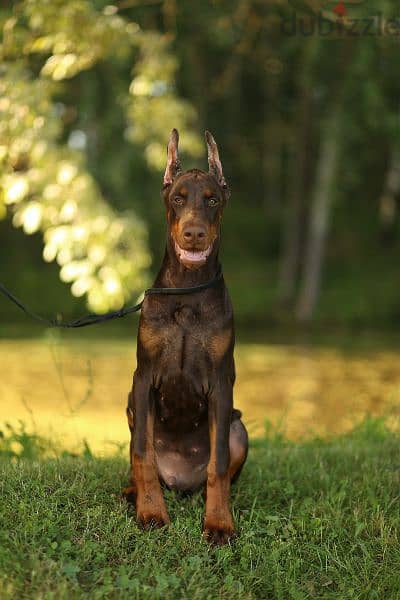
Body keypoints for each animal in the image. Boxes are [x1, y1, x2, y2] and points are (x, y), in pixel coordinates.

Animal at [122, 127, 247, 544]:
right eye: (178, 197)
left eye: (212, 200)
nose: (195, 233)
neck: (187, 291)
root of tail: (179, 480)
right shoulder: (143, 378)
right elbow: (142, 454)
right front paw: (150, 512)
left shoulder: (221, 382)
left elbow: (219, 464)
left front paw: (219, 522)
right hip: (131, 408)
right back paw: (134, 493)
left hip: (239, 426)